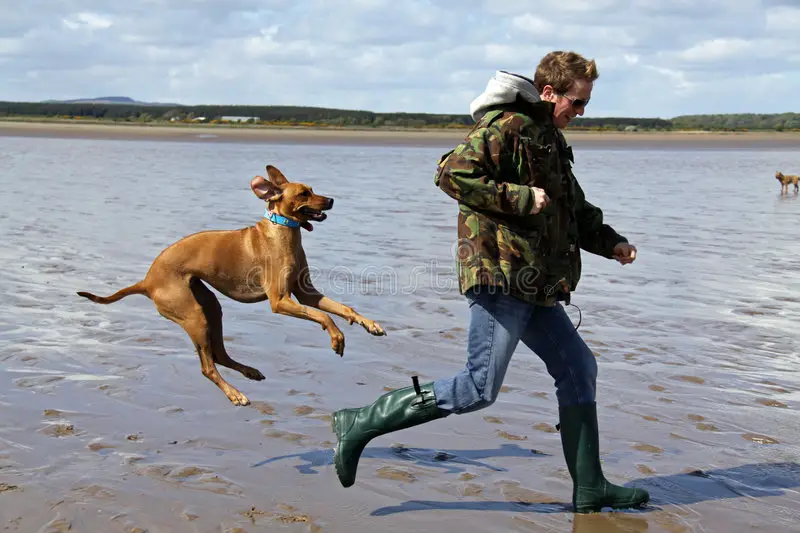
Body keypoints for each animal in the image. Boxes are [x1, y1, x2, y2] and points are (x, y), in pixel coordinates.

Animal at [78, 164, 388, 406]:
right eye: (304, 193)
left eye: (313, 189)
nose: (332, 200)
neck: (282, 230)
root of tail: (146, 280)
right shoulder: (280, 301)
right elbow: (325, 317)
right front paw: (337, 338)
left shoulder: (306, 294)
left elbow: (342, 308)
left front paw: (370, 324)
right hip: (193, 315)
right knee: (207, 366)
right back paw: (235, 394)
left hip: (210, 308)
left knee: (219, 354)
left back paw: (249, 372)